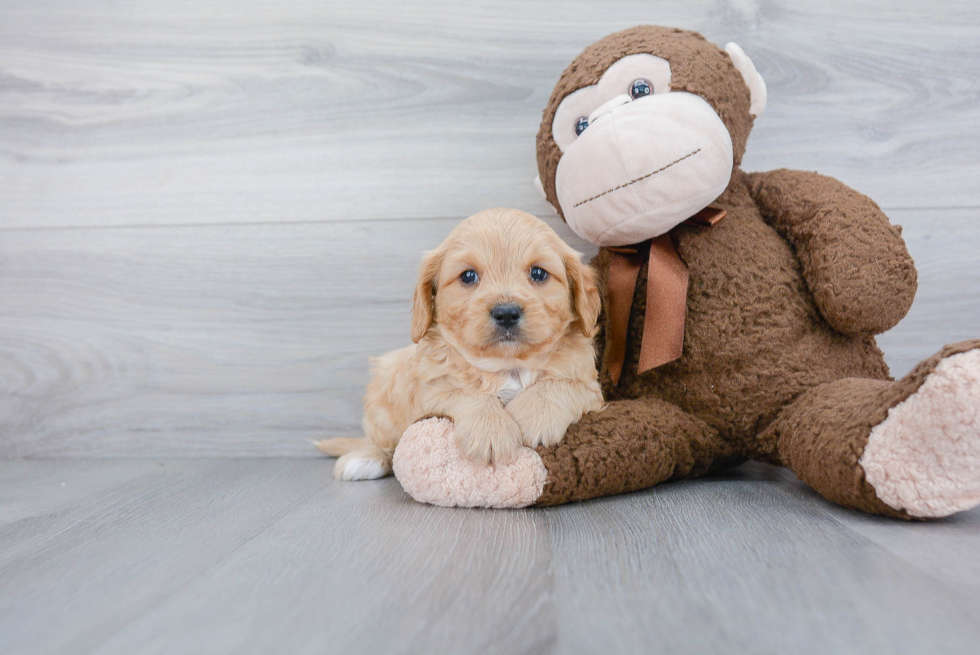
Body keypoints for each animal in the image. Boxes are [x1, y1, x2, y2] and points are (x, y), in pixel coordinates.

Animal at [318, 209, 600, 482]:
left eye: (538, 273)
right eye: (468, 276)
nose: (506, 313)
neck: (507, 364)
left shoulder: (591, 387)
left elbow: (560, 384)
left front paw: (533, 416)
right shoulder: (430, 391)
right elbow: (465, 393)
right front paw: (490, 432)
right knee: (382, 441)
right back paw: (365, 459)